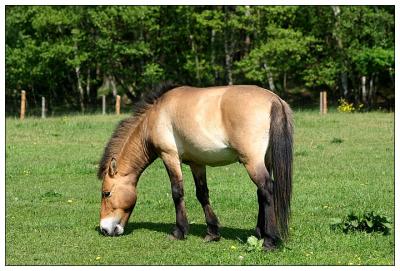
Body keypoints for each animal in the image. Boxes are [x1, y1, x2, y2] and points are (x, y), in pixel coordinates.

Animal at [97, 84, 294, 252]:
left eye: (106, 193)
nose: (105, 229)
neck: (155, 116)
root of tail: (274, 100)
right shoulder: (197, 163)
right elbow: (202, 194)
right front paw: (212, 232)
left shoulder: (169, 156)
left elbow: (177, 192)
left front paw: (179, 231)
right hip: (265, 161)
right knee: (261, 193)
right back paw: (259, 232)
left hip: (252, 162)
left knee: (267, 189)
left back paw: (269, 240)